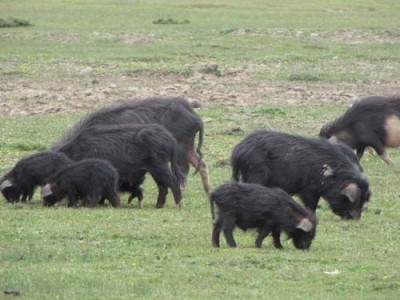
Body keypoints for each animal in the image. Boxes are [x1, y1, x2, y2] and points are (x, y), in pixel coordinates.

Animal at [52, 96, 212, 195]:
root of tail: (196, 117)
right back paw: (208, 191)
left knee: (184, 170)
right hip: (188, 147)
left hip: (181, 148)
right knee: (202, 164)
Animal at [231, 130, 372, 219]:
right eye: (354, 200)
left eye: (364, 199)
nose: (356, 218)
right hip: (255, 173)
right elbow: (311, 204)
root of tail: (238, 150)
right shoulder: (308, 189)